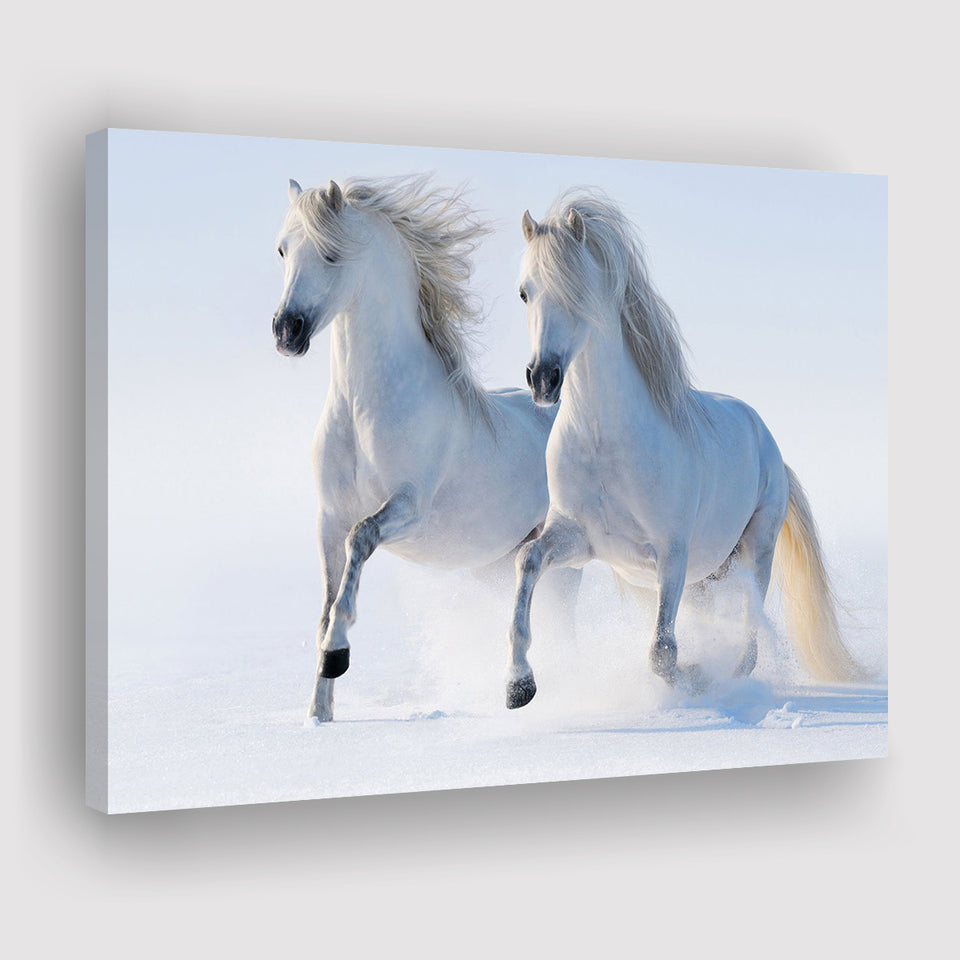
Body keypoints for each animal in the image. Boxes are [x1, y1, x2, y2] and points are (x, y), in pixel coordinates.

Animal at [272, 176, 577, 723]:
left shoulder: (408, 508)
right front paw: (319, 714)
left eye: (331, 254)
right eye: (283, 249)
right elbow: (325, 605)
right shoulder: (327, 518)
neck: (363, 410)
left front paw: (338, 654)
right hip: (493, 565)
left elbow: (361, 541)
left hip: (563, 564)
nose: (287, 331)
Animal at [505, 188, 865, 709]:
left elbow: (662, 652)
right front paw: (519, 685)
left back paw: (730, 681)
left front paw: (694, 678)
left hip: (754, 550)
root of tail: (769, 444)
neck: (603, 442)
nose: (543, 379)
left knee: (749, 632)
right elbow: (527, 561)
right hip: (705, 578)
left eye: (578, 290)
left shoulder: (671, 555)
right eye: (524, 292)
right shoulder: (578, 540)